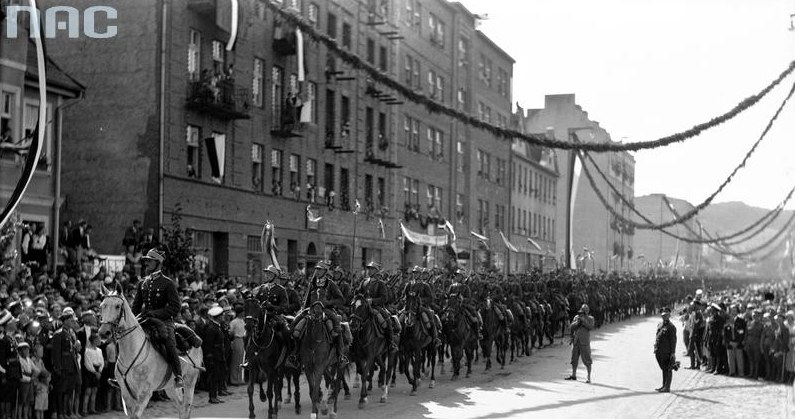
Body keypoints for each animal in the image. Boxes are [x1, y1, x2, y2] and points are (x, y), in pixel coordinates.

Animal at [97, 288, 204, 418]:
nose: (103, 332)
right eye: (102, 306)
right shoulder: (126, 394)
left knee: (186, 408)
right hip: (171, 386)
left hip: (189, 381)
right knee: (181, 407)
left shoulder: (145, 393)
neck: (132, 353)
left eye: (117, 306)